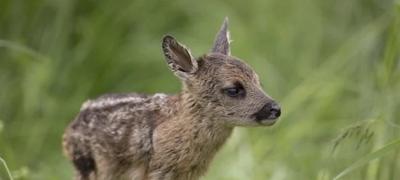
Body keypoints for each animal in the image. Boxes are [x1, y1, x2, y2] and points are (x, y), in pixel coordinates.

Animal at [62, 17, 282, 180]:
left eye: (258, 81)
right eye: (234, 89)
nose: (275, 108)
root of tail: (68, 131)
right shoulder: (156, 171)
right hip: (87, 165)